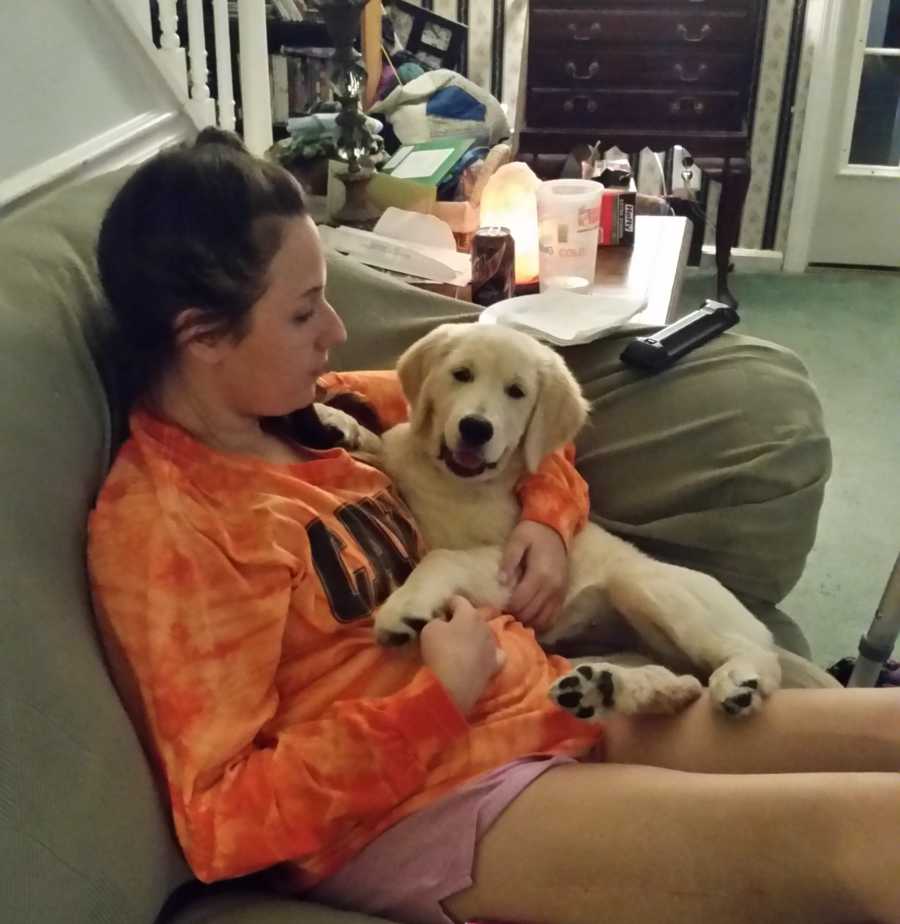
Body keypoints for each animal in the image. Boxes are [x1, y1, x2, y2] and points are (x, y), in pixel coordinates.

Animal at [322, 324, 836, 720]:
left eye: (516, 392)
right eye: (460, 375)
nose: (475, 428)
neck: (452, 481)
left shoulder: (508, 567)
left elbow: (444, 556)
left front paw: (404, 608)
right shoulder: (404, 463)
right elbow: (382, 445)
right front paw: (335, 420)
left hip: (648, 586)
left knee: (751, 657)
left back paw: (740, 682)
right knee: (684, 682)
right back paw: (608, 687)